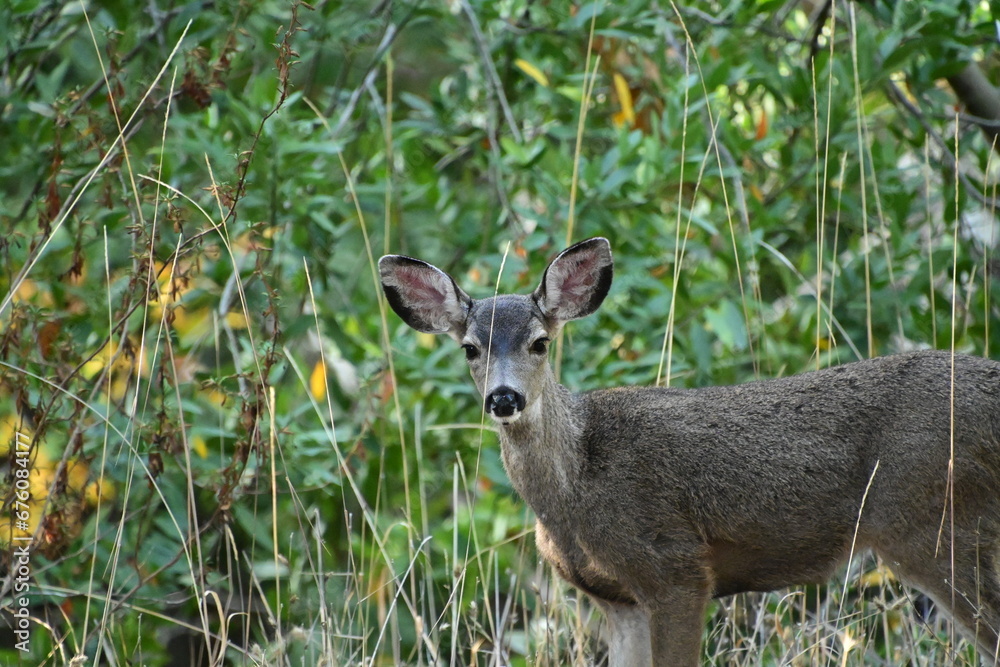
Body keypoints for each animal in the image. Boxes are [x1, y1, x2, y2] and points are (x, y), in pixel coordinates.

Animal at [378, 237, 1000, 664]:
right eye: (469, 349)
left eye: (540, 342)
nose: (504, 398)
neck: (576, 485)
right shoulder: (616, 598)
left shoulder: (674, 567)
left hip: (936, 525)